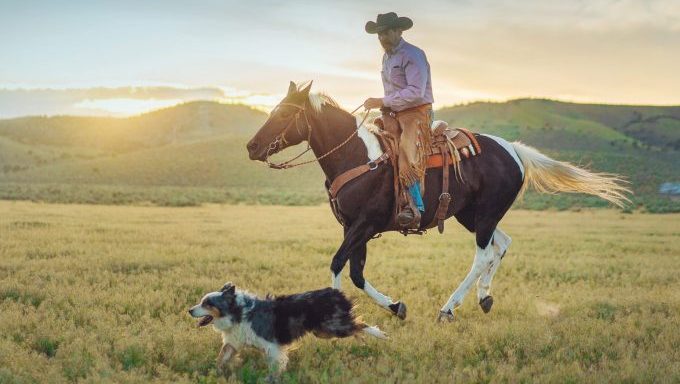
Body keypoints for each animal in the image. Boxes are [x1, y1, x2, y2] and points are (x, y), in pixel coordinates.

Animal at [189, 280, 386, 376]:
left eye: (207, 304)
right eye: (202, 301)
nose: (189, 310)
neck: (237, 312)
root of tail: (335, 291)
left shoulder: (271, 345)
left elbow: (275, 366)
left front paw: (273, 378)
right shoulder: (233, 342)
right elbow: (221, 359)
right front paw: (213, 373)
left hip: (331, 327)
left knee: (359, 323)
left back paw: (380, 335)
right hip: (324, 330)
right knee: (356, 325)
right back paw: (363, 338)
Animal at [246, 82, 632, 320]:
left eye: (284, 114)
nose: (251, 146)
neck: (356, 156)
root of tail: (513, 150)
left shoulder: (364, 225)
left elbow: (339, 264)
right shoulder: (354, 228)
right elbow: (356, 273)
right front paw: (396, 307)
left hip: (485, 214)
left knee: (483, 255)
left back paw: (449, 308)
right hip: (472, 215)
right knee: (503, 244)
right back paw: (484, 297)